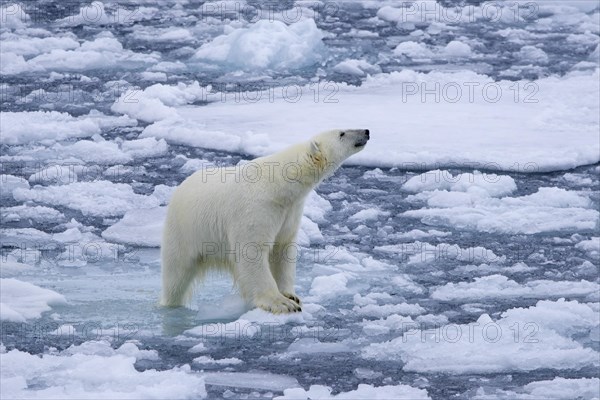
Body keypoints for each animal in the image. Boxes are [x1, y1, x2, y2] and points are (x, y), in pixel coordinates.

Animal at [159, 128, 368, 312]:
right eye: (341, 133)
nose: (366, 131)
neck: (278, 184)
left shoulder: (289, 210)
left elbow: (283, 247)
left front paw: (291, 295)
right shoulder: (256, 208)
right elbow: (252, 251)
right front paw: (281, 303)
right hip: (185, 230)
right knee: (177, 274)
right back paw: (171, 303)